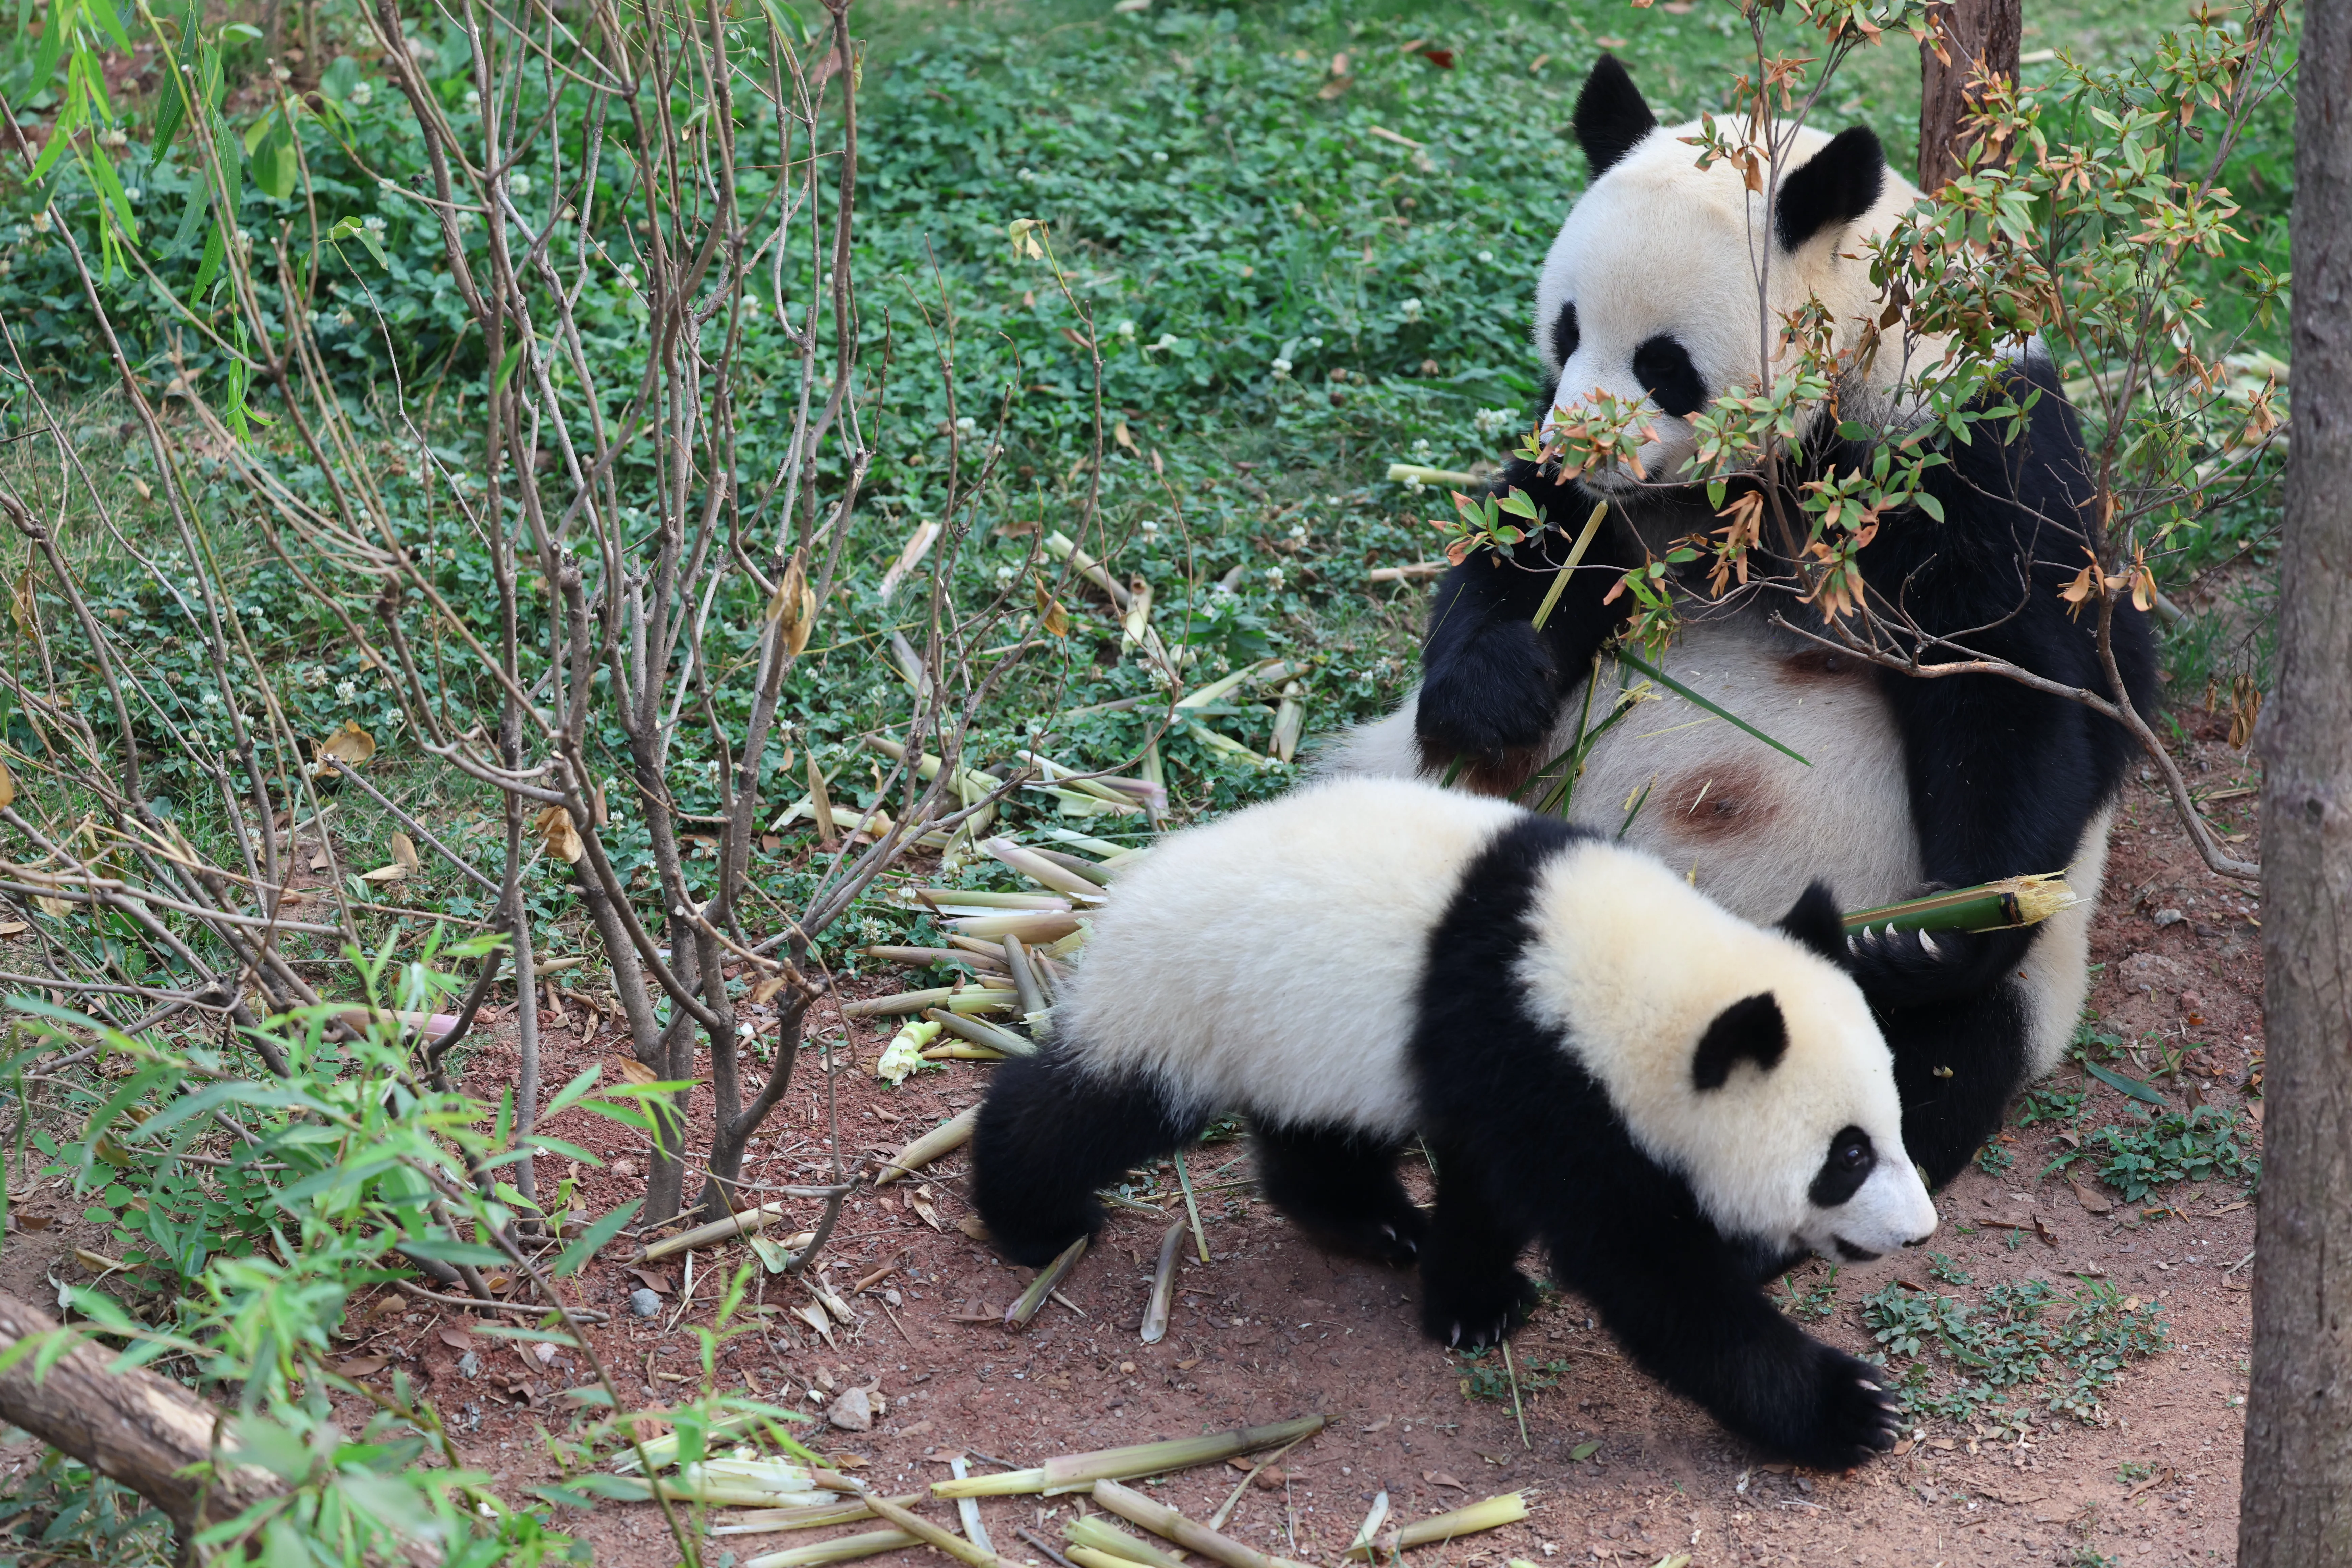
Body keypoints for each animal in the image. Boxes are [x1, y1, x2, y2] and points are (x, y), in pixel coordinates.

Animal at [974, 776, 1939, 1470]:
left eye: (1894, 1124)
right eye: (1848, 1156)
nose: (1918, 1231)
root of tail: (1124, 891)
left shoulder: (1509, 1073)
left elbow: (1491, 1193)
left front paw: (1472, 1301)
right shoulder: (1531, 1050)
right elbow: (1647, 1272)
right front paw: (1849, 1410)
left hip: (1304, 1040)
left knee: (1315, 1132)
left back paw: (1376, 1221)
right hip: (1189, 1002)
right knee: (1095, 1103)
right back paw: (1031, 1214)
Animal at [1329, 56, 2159, 1188]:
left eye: (1663, 364)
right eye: (1567, 329)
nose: (1582, 446)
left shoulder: (1966, 449)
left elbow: (2024, 677)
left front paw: (1940, 929)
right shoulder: (1619, 501)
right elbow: (1526, 550)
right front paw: (1489, 696)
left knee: (1921, 1062)